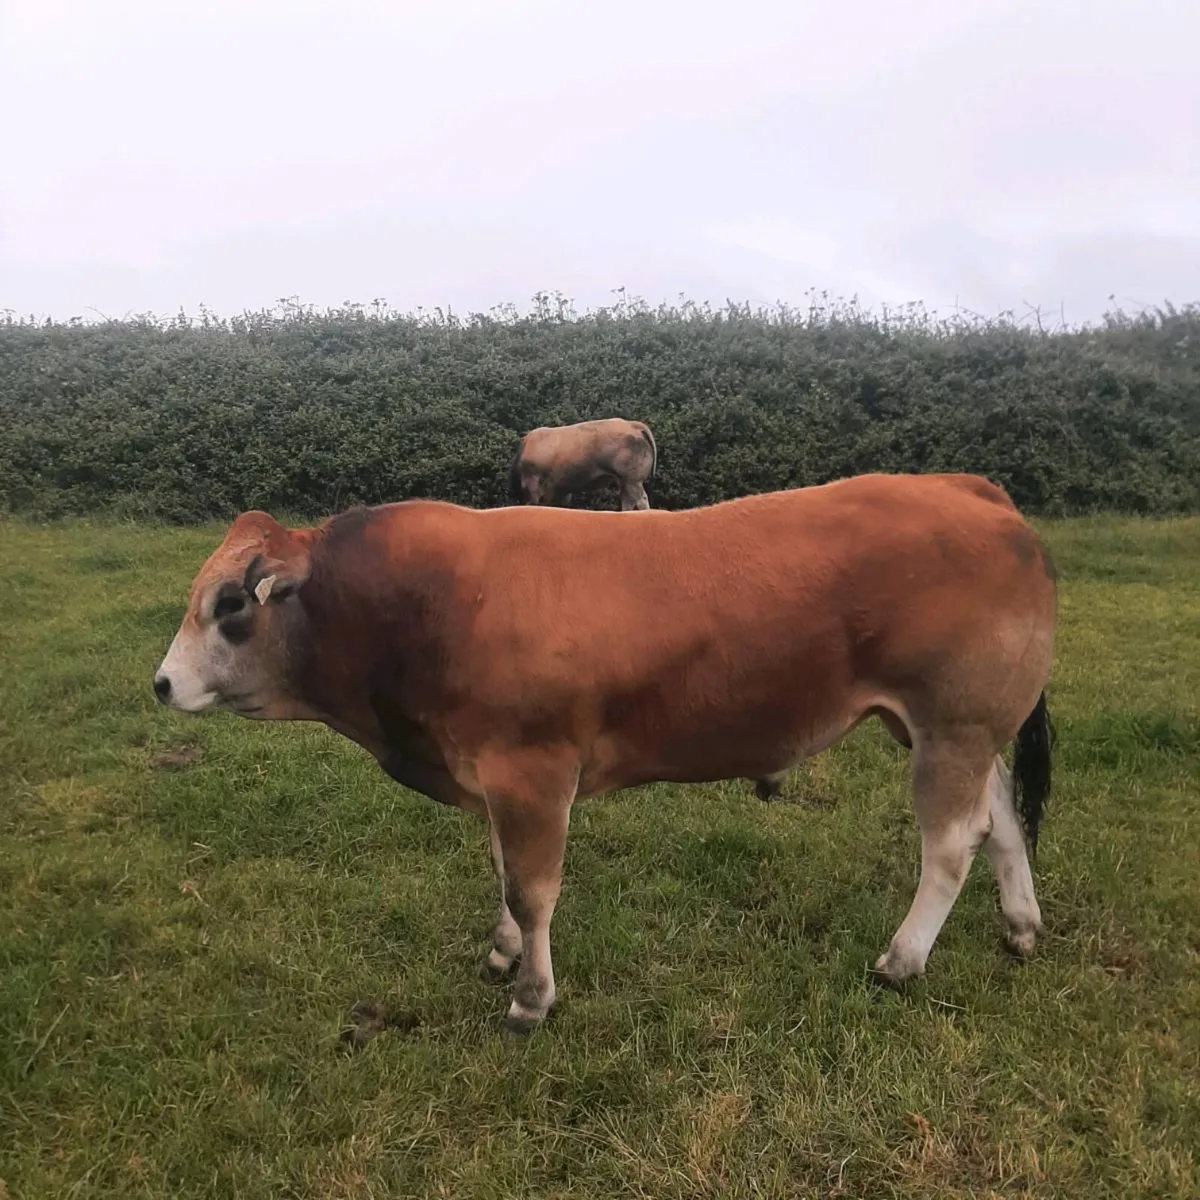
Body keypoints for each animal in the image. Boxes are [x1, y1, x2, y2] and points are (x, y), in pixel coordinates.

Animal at [152, 472, 1057, 1037]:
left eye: (229, 604)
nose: (161, 684)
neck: (425, 603)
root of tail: (965, 486)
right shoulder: (496, 777)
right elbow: (503, 877)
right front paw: (502, 953)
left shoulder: (533, 772)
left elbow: (532, 891)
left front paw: (532, 997)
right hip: (961, 731)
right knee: (1004, 819)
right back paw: (1019, 927)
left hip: (950, 726)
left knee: (952, 844)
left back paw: (902, 960)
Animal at [509, 417, 657, 511]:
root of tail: (631, 424)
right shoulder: (562, 491)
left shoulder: (532, 487)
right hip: (625, 482)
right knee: (628, 502)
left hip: (633, 480)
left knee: (641, 499)